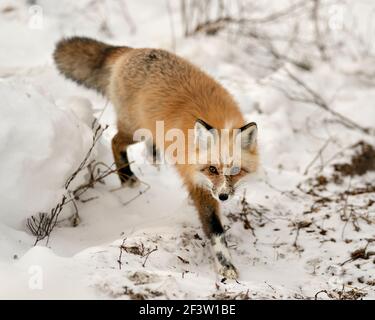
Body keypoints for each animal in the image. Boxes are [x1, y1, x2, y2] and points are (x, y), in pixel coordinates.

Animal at [53, 36, 258, 278]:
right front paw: (225, 265)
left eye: (235, 171)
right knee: (115, 141)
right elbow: (214, 230)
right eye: (212, 169)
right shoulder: (198, 184)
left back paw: (154, 159)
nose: (224, 196)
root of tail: (130, 51)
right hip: (135, 130)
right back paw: (127, 178)